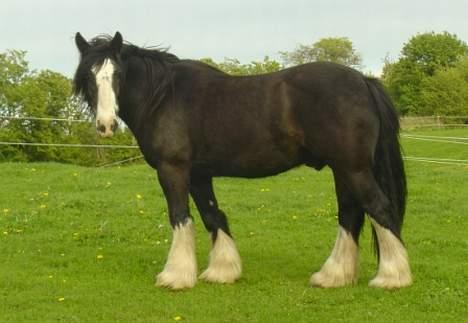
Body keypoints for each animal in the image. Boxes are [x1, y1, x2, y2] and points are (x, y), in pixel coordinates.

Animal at [74, 32, 414, 292]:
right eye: (89, 77)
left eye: (117, 75)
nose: (106, 125)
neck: (164, 98)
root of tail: (364, 81)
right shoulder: (199, 175)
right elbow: (213, 215)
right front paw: (222, 271)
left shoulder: (173, 170)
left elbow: (180, 217)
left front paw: (175, 277)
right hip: (343, 169)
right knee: (350, 215)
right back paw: (333, 276)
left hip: (353, 168)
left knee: (378, 209)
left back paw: (391, 277)